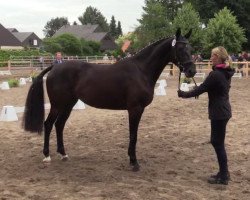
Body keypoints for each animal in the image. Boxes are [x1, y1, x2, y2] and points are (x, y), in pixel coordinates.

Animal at [23, 28, 195, 171]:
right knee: (48, 124)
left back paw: (63, 154)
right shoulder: (135, 109)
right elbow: (133, 135)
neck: (141, 70)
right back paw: (47, 155)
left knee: (59, 125)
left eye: (191, 49)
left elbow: (133, 134)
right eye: (180, 49)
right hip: (57, 105)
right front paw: (134, 162)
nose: (192, 71)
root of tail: (55, 67)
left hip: (68, 104)